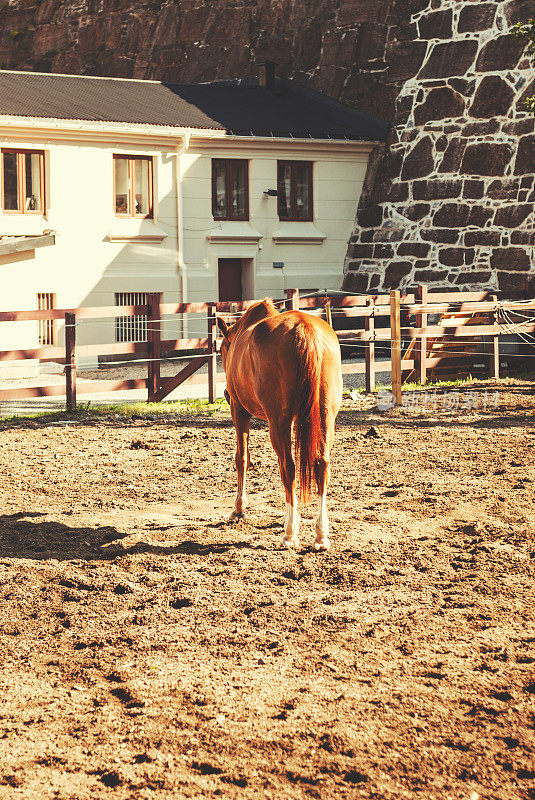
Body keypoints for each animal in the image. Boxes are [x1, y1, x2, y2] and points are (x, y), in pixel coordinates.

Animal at [218, 298, 344, 552]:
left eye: (222, 350)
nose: (225, 393)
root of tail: (304, 328)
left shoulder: (239, 411)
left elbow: (241, 459)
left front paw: (239, 509)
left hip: (278, 422)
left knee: (288, 467)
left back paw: (289, 533)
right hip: (325, 416)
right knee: (321, 464)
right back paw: (320, 535)